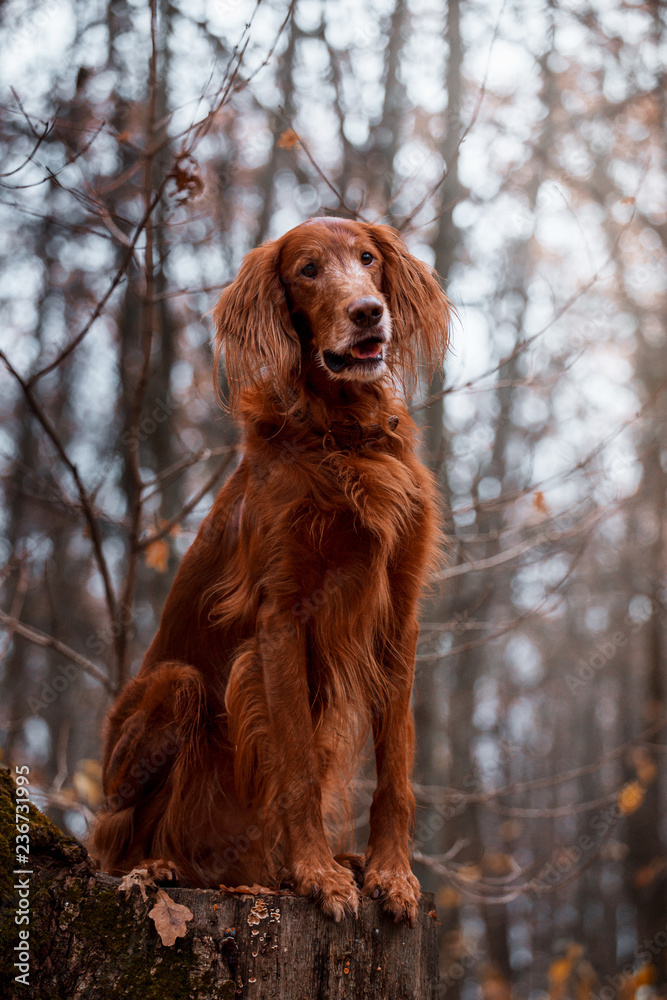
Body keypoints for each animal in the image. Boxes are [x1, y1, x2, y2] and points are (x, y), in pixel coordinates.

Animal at [91, 215, 452, 924]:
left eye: (367, 259)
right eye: (307, 270)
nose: (368, 312)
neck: (343, 432)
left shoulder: (399, 616)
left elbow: (395, 766)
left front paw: (391, 873)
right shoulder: (282, 617)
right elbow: (297, 766)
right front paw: (318, 875)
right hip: (175, 690)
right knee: (112, 834)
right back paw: (166, 865)